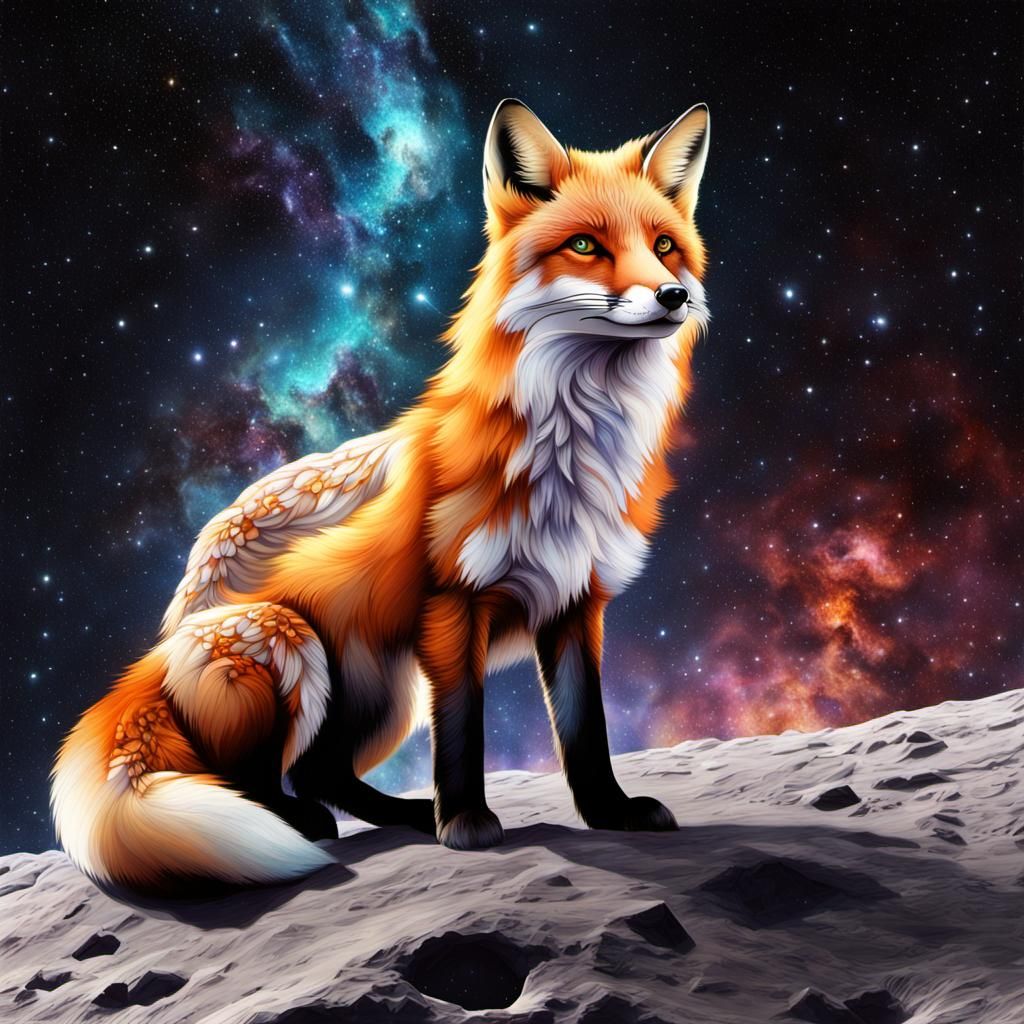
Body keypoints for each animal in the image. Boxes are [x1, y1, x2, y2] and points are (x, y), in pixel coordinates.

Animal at [51, 99, 712, 891]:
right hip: (291, 643)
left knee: (319, 771)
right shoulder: (451, 604)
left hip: (382, 695)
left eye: (665, 246)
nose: (673, 295)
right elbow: (463, 729)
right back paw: (303, 825)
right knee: (251, 780)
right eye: (585, 245)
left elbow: (586, 729)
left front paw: (609, 811)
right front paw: (466, 825)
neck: (570, 450)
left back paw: (403, 814)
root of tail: (162, 635)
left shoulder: (577, 600)